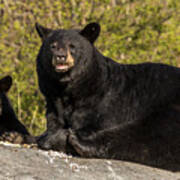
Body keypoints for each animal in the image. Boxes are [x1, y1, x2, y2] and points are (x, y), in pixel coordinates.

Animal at [35, 22, 180, 170]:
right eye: (52, 46)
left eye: (72, 46)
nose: (60, 56)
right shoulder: (53, 103)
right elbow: (54, 121)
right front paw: (51, 133)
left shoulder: (105, 103)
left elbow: (93, 124)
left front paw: (56, 136)